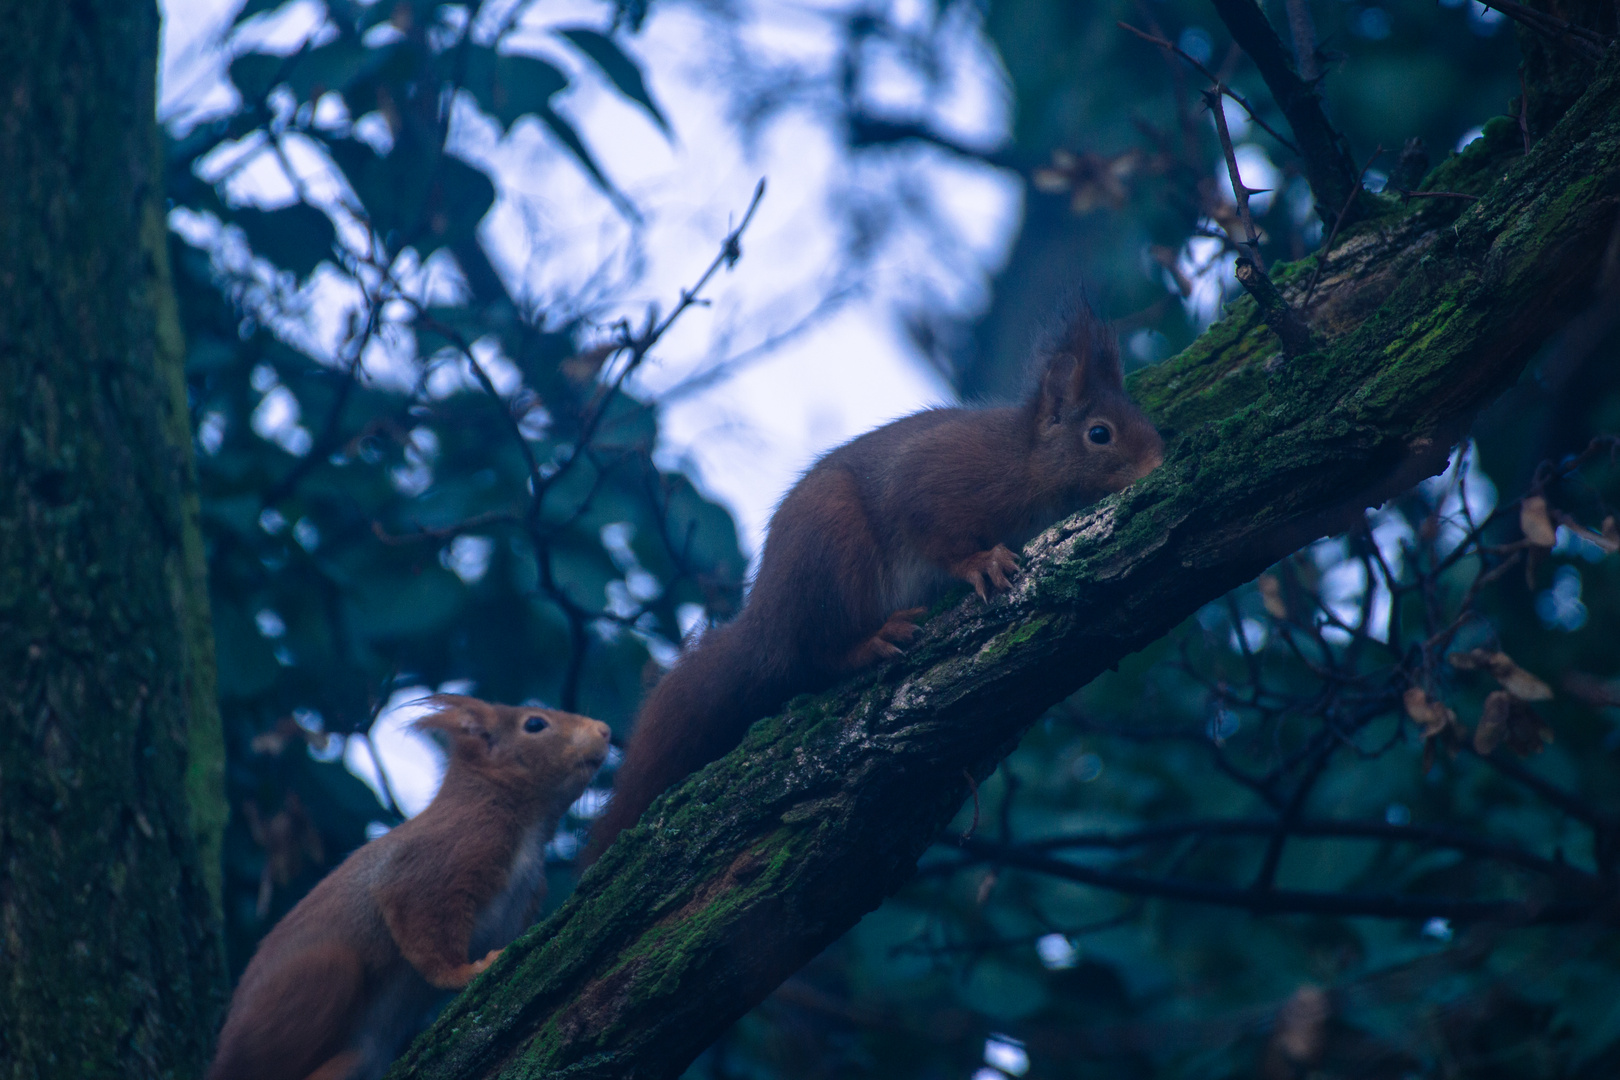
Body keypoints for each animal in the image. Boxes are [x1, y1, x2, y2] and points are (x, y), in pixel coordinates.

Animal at [208, 696, 612, 1075]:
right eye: (535, 724)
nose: (605, 730)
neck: (528, 830)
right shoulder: (439, 861)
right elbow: (423, 929)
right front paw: (465, 972)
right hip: (316, 981)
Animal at [589, 304, 1159, 861]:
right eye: (1100, 434)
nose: (1157, 463)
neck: (1029, 461)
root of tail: (767, 622)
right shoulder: (942, 480)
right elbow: (935, 531)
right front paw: (982, 562)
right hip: (834, 555)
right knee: (818, 654)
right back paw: (874, 640)